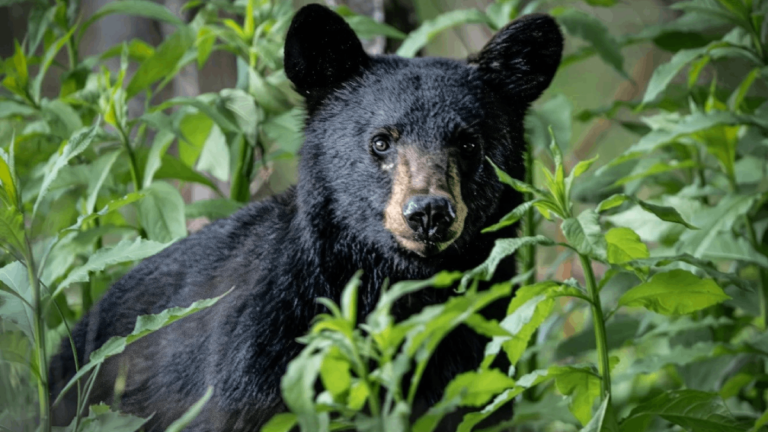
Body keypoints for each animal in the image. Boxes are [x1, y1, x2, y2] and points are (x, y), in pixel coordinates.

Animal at [48, 4, 562, 431]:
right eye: (381, 140)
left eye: (469, 143)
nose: (429, 212)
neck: (397, 292)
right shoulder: (258, 364)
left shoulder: (477, 361)